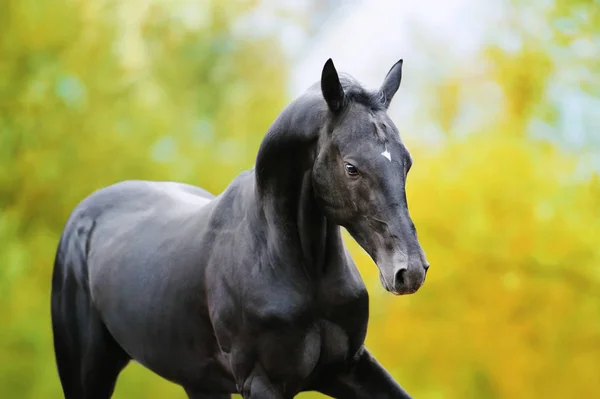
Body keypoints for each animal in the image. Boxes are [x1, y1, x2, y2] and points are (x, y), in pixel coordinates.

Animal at [50, 57, 426, 398]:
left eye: (406, 162)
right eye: (351, 167)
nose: (410, 271)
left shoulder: (349, 367)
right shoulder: (260, 382)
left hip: (199, 382)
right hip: (88, 376)